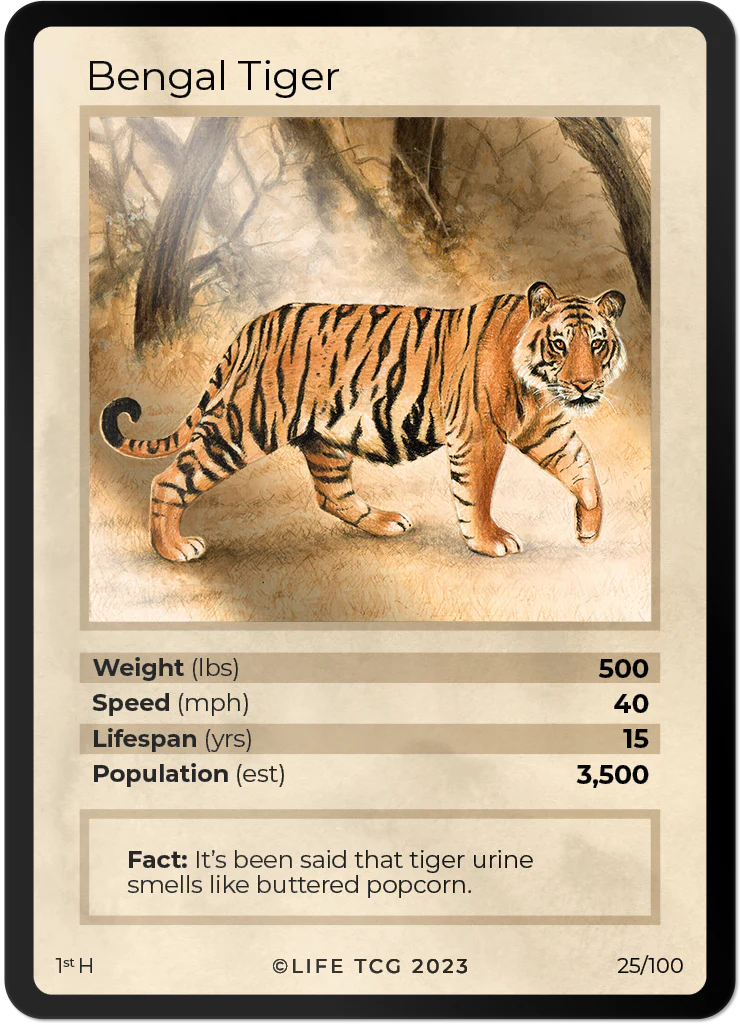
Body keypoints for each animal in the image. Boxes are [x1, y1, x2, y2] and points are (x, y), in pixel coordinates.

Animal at [100, 281, 626, 562]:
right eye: (559, 343)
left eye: (598, 343)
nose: (584, 386)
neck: (541, 388)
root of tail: (257, 324)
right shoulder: (479, 437)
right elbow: (476, 494)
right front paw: (489, 540)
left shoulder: (545, 429)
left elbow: (584, 469)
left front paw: (588, 527)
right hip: (245, 424)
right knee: (170, 479)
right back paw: (173, 549)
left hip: (324, 437)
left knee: (333, 496)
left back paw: (386, 522)